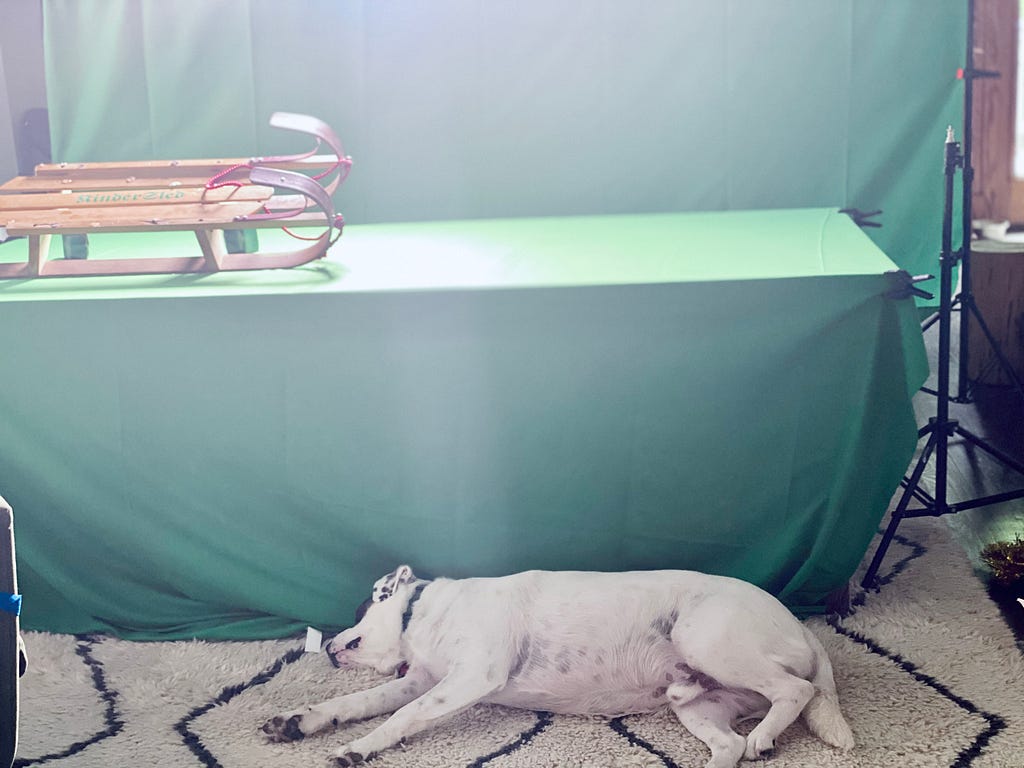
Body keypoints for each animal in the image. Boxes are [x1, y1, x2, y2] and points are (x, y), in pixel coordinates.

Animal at [260, 565, 851, 768]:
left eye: (361, 607)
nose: (330, 646)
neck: (425, 612)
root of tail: (801, 627)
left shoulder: (468, 678)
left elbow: (399, 718)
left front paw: (357, 747)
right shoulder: (423, 681)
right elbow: (355, 703)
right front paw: (301, 721)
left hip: (707, 639)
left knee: (794, 692)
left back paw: (767, 737)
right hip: (700, 705)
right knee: (728, 744)